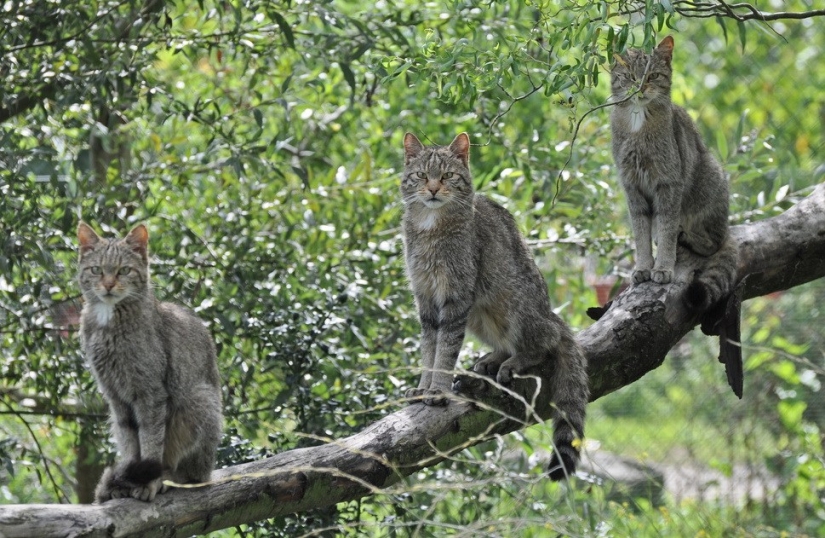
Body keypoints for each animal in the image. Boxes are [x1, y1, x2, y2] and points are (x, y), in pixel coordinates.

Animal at [77, 221, 224, 498]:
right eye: (96, 270)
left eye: (124, 270)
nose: (108, 285)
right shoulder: (115, 397)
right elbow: (131, 443)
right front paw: (130, 477)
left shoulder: (150, 393)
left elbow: (151, 440)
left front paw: (148, 481)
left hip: (199, 399)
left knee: (191, 474)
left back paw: (167, 477)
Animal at [400, 131, 588, 478]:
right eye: (421, 175)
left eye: (447, 176)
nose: (432, 189)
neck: (430, 227)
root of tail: (554, 316)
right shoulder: (426, 299)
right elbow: (428, 350)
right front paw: (422, 387)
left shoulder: (455, 297)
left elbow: (444, 352)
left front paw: (437, 390)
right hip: (480, 313)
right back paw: (491, 359)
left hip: (511, 303)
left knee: (544, 341)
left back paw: (514, 361)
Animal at [608, 33, 744, 394]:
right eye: (630, 77)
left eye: (653, 75)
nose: (640, 89)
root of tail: (728, 227)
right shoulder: (633, 190)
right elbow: (641, 235)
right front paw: (643, 267)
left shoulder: (668, 186)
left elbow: (666, 231)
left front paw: (663, 268)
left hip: (708, 177)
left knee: (707, 242)